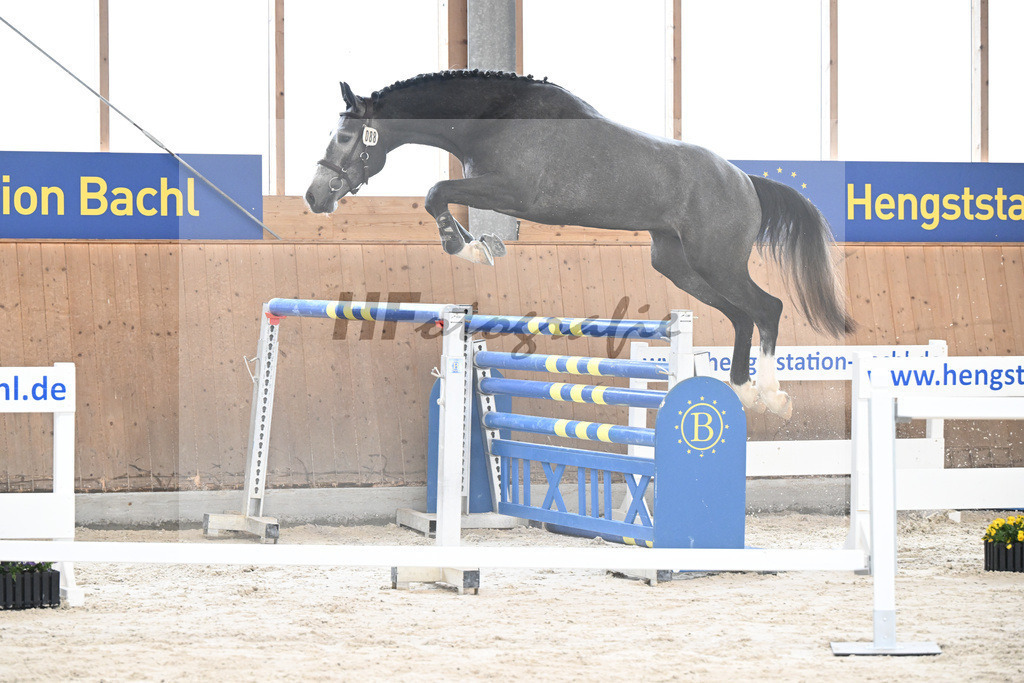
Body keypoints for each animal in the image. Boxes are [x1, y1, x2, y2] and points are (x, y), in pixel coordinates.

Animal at [304, 70, 854, 418]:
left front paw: (469, 247)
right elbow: (441, 196)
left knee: (767, 308)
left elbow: (437, 192)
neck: (495, 118)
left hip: (716, 262)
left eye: (347, 138)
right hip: (677, 264)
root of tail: (744, 180)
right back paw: (743, 391)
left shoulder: (513, 192)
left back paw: (772, 397)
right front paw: (477, 243)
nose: (314, 196)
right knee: (742, 315)